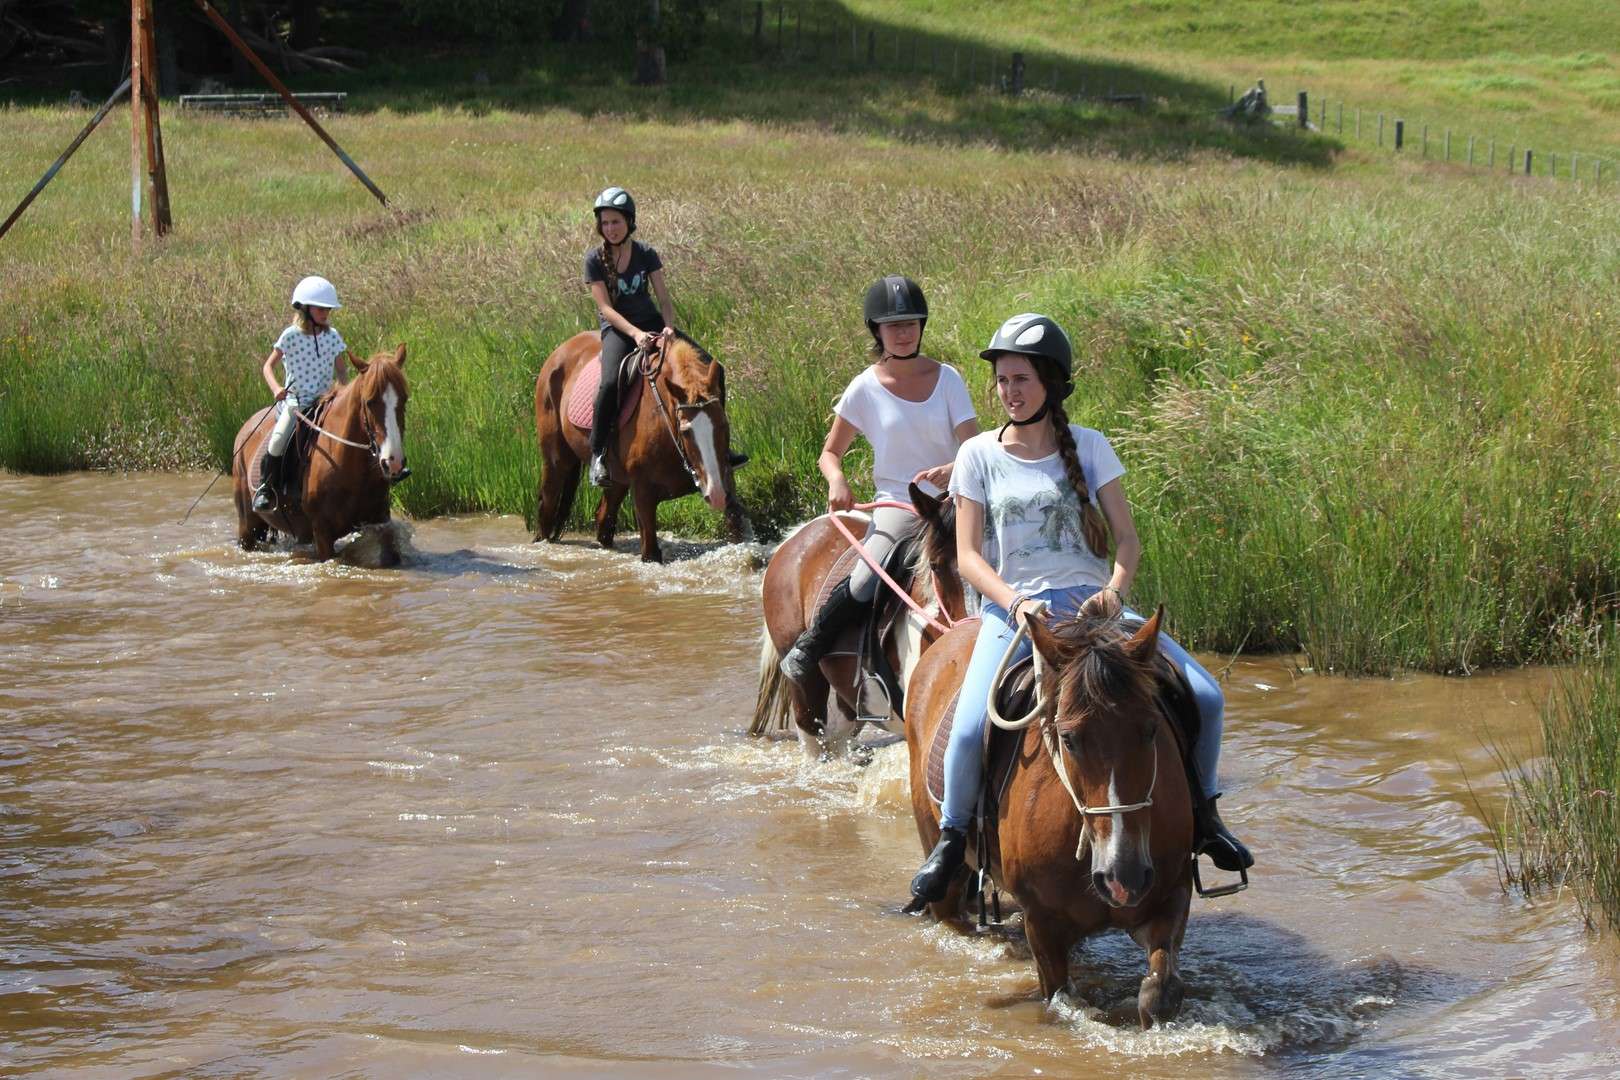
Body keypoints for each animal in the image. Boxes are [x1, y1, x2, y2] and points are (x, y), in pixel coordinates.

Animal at [233, 344, 411, 566]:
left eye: (404, 399)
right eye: (369, 402)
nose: (393, 462)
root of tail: (245, 429)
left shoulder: (379, 522)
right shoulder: (323, 533)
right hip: (248, 525)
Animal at [537, 331, 751, 566]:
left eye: (723, 425)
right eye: (686, 431)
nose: (716, 493)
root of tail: (557, 353)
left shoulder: (726, 480)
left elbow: (738, 532)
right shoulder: (643, 493)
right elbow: (650, 552)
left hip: (616, 480)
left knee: (603, 519)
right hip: (556, 462)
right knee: (547, 508)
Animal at [907, 608, 1198, 1029]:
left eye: (1150, 729)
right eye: (1069, 738)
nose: (1123, 875)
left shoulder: (1171, 894)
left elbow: (1158, 994)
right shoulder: (1042, 921)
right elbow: (1061, 996)